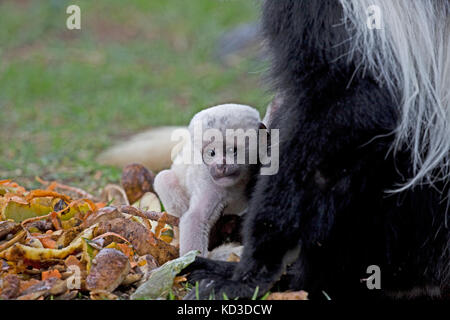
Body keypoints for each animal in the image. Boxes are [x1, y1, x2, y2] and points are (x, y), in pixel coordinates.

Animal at [154, 104, 264, 258]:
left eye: (233, 150)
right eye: (211, 153)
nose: (220, 166)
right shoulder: (209, 181)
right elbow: (197, 217)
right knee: (163, 178)